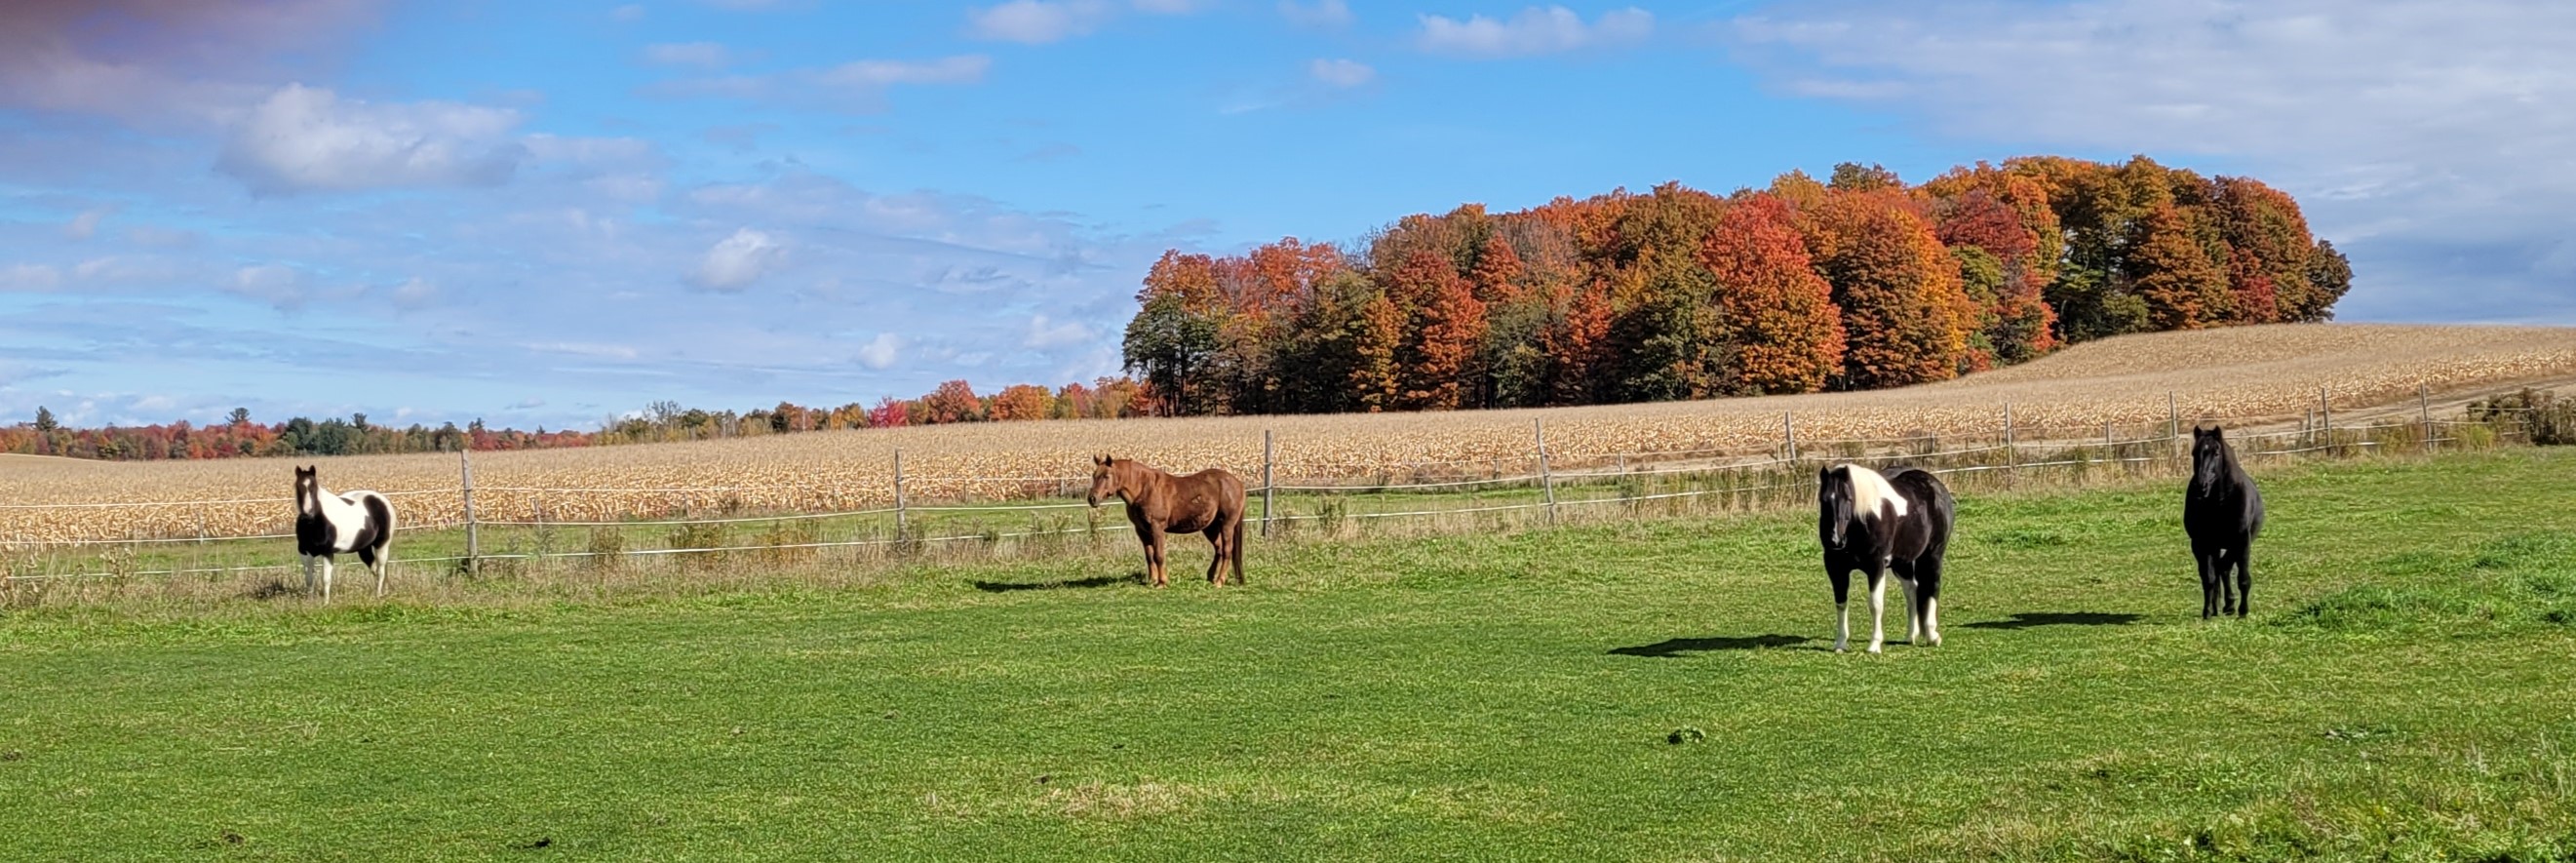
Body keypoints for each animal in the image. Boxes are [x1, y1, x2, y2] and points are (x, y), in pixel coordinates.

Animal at [293, 465, 397, 602]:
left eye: (313, 487)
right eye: (298, 486)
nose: (307, 516)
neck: (315, 522)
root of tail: (382, 500)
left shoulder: (327, 552)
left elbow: (326, 579)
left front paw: (326, 603)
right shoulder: (305, 552)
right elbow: (309, 579)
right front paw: (310, 602)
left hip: (382, 544)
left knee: (381, 570)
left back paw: (378, 595)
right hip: (364, 549)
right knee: (375, 568)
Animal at [1086, 455, 1246, 588]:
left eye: (1106, 476)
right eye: (1094, 476)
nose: (1092, 498)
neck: (1145, 489)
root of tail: (1238, 483)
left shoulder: (1157, 527)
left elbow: (1159, 555)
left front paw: (1162, 582)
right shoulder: (1142, 531)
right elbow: (1149, 556)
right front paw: (1152, 580)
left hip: (1226, 525)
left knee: (1227, 551)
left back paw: (1219, 581)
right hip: (1210, 527)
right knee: (1218, 549)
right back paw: (1210, 577)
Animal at [1818, 463, 1956, 653]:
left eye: (1848, 499)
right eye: (1823, 500)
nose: (1835, 540)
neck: (1864, 518)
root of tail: (1937, 486)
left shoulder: (1876, 566)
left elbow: (1875, 604)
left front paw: (1874, 645)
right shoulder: (1835, 567)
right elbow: (1841, 603)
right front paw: (1840, 644)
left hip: (1933, 556)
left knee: (1932, 588)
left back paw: (1932, 635)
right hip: (1902, 563)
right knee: (1912, 591)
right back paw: (1911, 635)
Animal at [2183, 425, 2264, 619]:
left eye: (2217, 452)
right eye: (2194, 453)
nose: (2201, 486)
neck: (2220, 501)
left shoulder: (2242, 540)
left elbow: (2242, 577)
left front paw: (2243, 611)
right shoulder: (2202, 543)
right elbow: (2209, 578)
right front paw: (2207, 611)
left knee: (2224, 567)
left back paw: (2230, 606)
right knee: (2218, 570)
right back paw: (2221, 606)